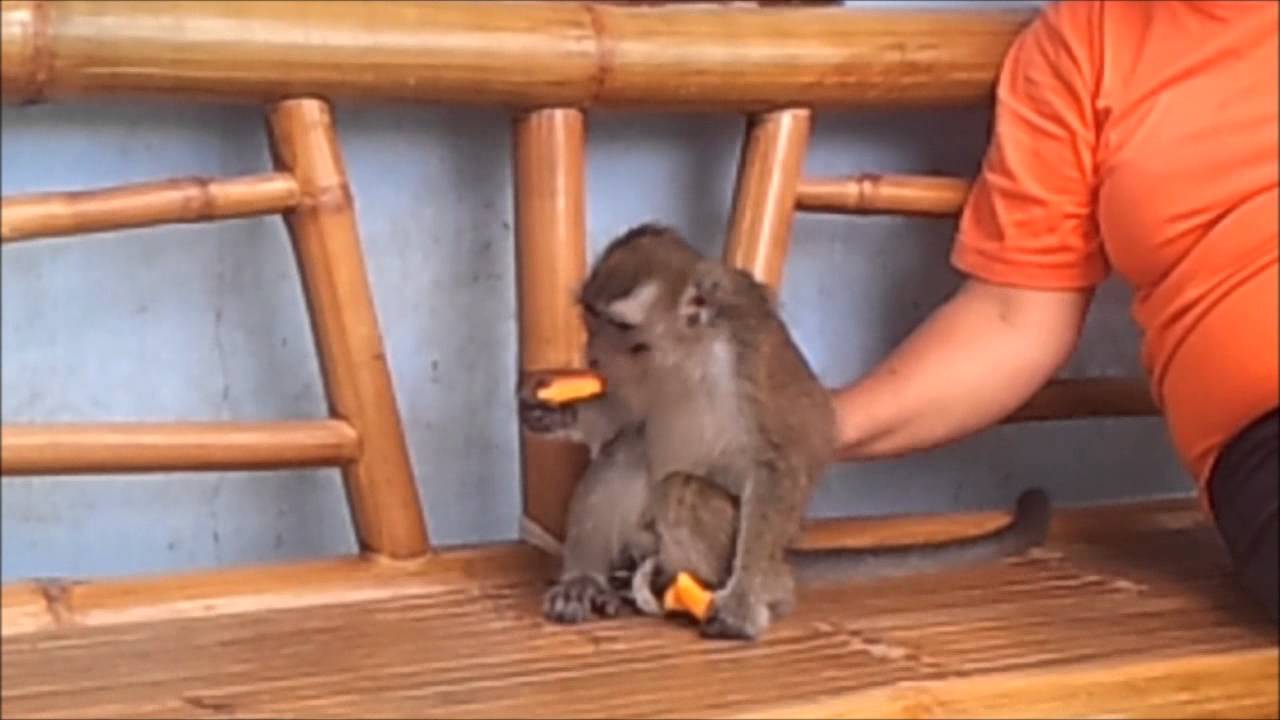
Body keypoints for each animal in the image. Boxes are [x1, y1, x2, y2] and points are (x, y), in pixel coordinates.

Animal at [520, 223, 1051, 639]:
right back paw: (588, 582)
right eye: (589, 319)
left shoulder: (747, 364)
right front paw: (554, 412)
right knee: (626, 451)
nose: (593, 356)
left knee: (680, 490)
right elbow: (623, 415)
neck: (686, 355)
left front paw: (742, 603)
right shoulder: (638, 380)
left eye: (620, 328)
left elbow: (779, 464)